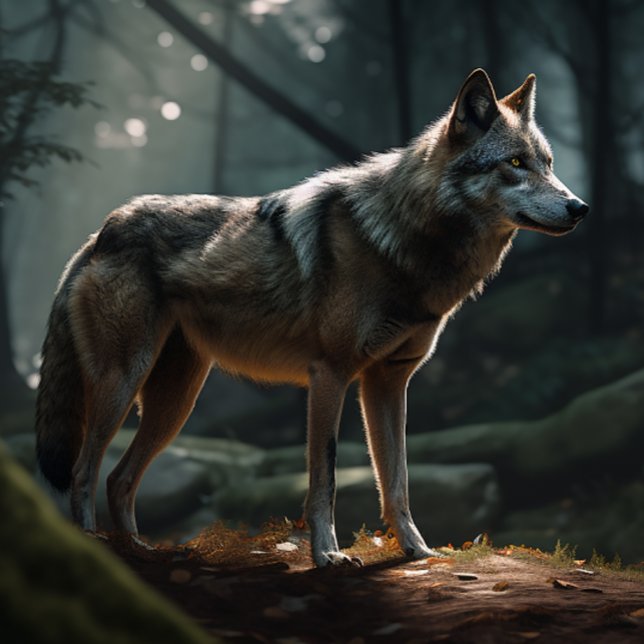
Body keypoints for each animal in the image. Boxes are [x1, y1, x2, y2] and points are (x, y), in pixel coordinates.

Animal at [36, 69, 587, 567]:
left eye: (548, 163)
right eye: (515, 163)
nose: (580, 207)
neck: (404, 240)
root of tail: (101, 231)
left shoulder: (388, 382)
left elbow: (398, 480)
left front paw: (417, 551)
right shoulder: (330, 375)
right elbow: (326, 477)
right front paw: (328, 555)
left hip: (175, 402)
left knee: (119, 477)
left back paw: (138, 552)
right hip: (124, 383)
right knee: (84, 472)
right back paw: (97, 550)